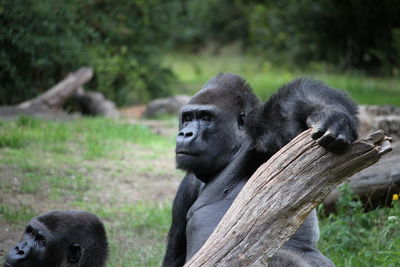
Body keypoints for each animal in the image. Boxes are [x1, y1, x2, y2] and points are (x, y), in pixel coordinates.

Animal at [162, 73, 360, 267]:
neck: (229, 155)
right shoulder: (187, 185)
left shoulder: (263, 141)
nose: (185, 134)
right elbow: (175, 254)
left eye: (205, 118)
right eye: (187, 118)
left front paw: (330, 115)